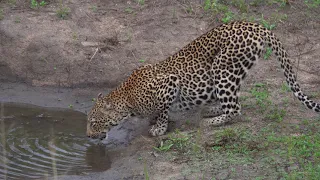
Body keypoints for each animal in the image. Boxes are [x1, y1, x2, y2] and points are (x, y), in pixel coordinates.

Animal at [86, 20, 318, 139]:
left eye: (94, 122)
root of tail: (254, 25)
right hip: (232, 74)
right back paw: (211, 110)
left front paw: (159, 128)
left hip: (222, 69)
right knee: (233, 101)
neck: (127, 100)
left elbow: (163, 111)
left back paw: (209, 121)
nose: (87, 136)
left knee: (236, 109)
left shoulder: (169, 83)